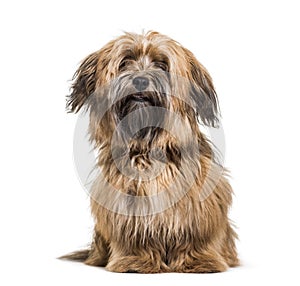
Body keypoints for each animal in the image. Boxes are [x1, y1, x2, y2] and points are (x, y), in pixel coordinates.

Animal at [61, 30, 239, 272]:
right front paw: (135, 261)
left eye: (162, 64)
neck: (148, 148)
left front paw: (200, 260)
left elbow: (196, 233)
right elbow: (134, 233)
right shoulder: (124, 201)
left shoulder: (201, 199)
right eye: (125, 61)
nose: (140, 80)